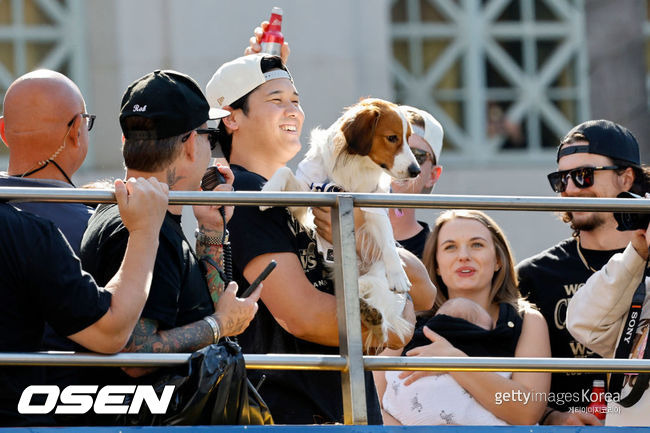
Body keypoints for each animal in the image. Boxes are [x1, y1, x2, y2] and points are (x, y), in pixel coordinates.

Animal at [262, 98, 420, 348]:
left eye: (408, 137)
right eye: (392, 137)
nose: (416, 171)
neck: (355, 163)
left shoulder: (373, 208)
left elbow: (388, 244)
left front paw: (398, 275)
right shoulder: (306, 200)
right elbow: (284, 170)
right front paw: (269, 188)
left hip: (376, 271)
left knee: (370, 288)